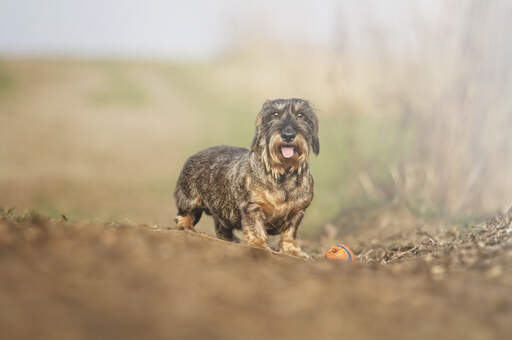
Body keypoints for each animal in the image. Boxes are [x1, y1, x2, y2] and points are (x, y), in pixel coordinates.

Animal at [176, 97, 320, 258]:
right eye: (274, 114)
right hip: (189, 201)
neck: (283, 174)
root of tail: (195, 154)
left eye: (301, 115)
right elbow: (256, 229)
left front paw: (293, 250)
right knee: (184, 216)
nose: (288, 135)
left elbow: (290, 233)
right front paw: (260, 246)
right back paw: (185, 227)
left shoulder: (298, 212)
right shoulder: (252, 208)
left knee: (221, 229)